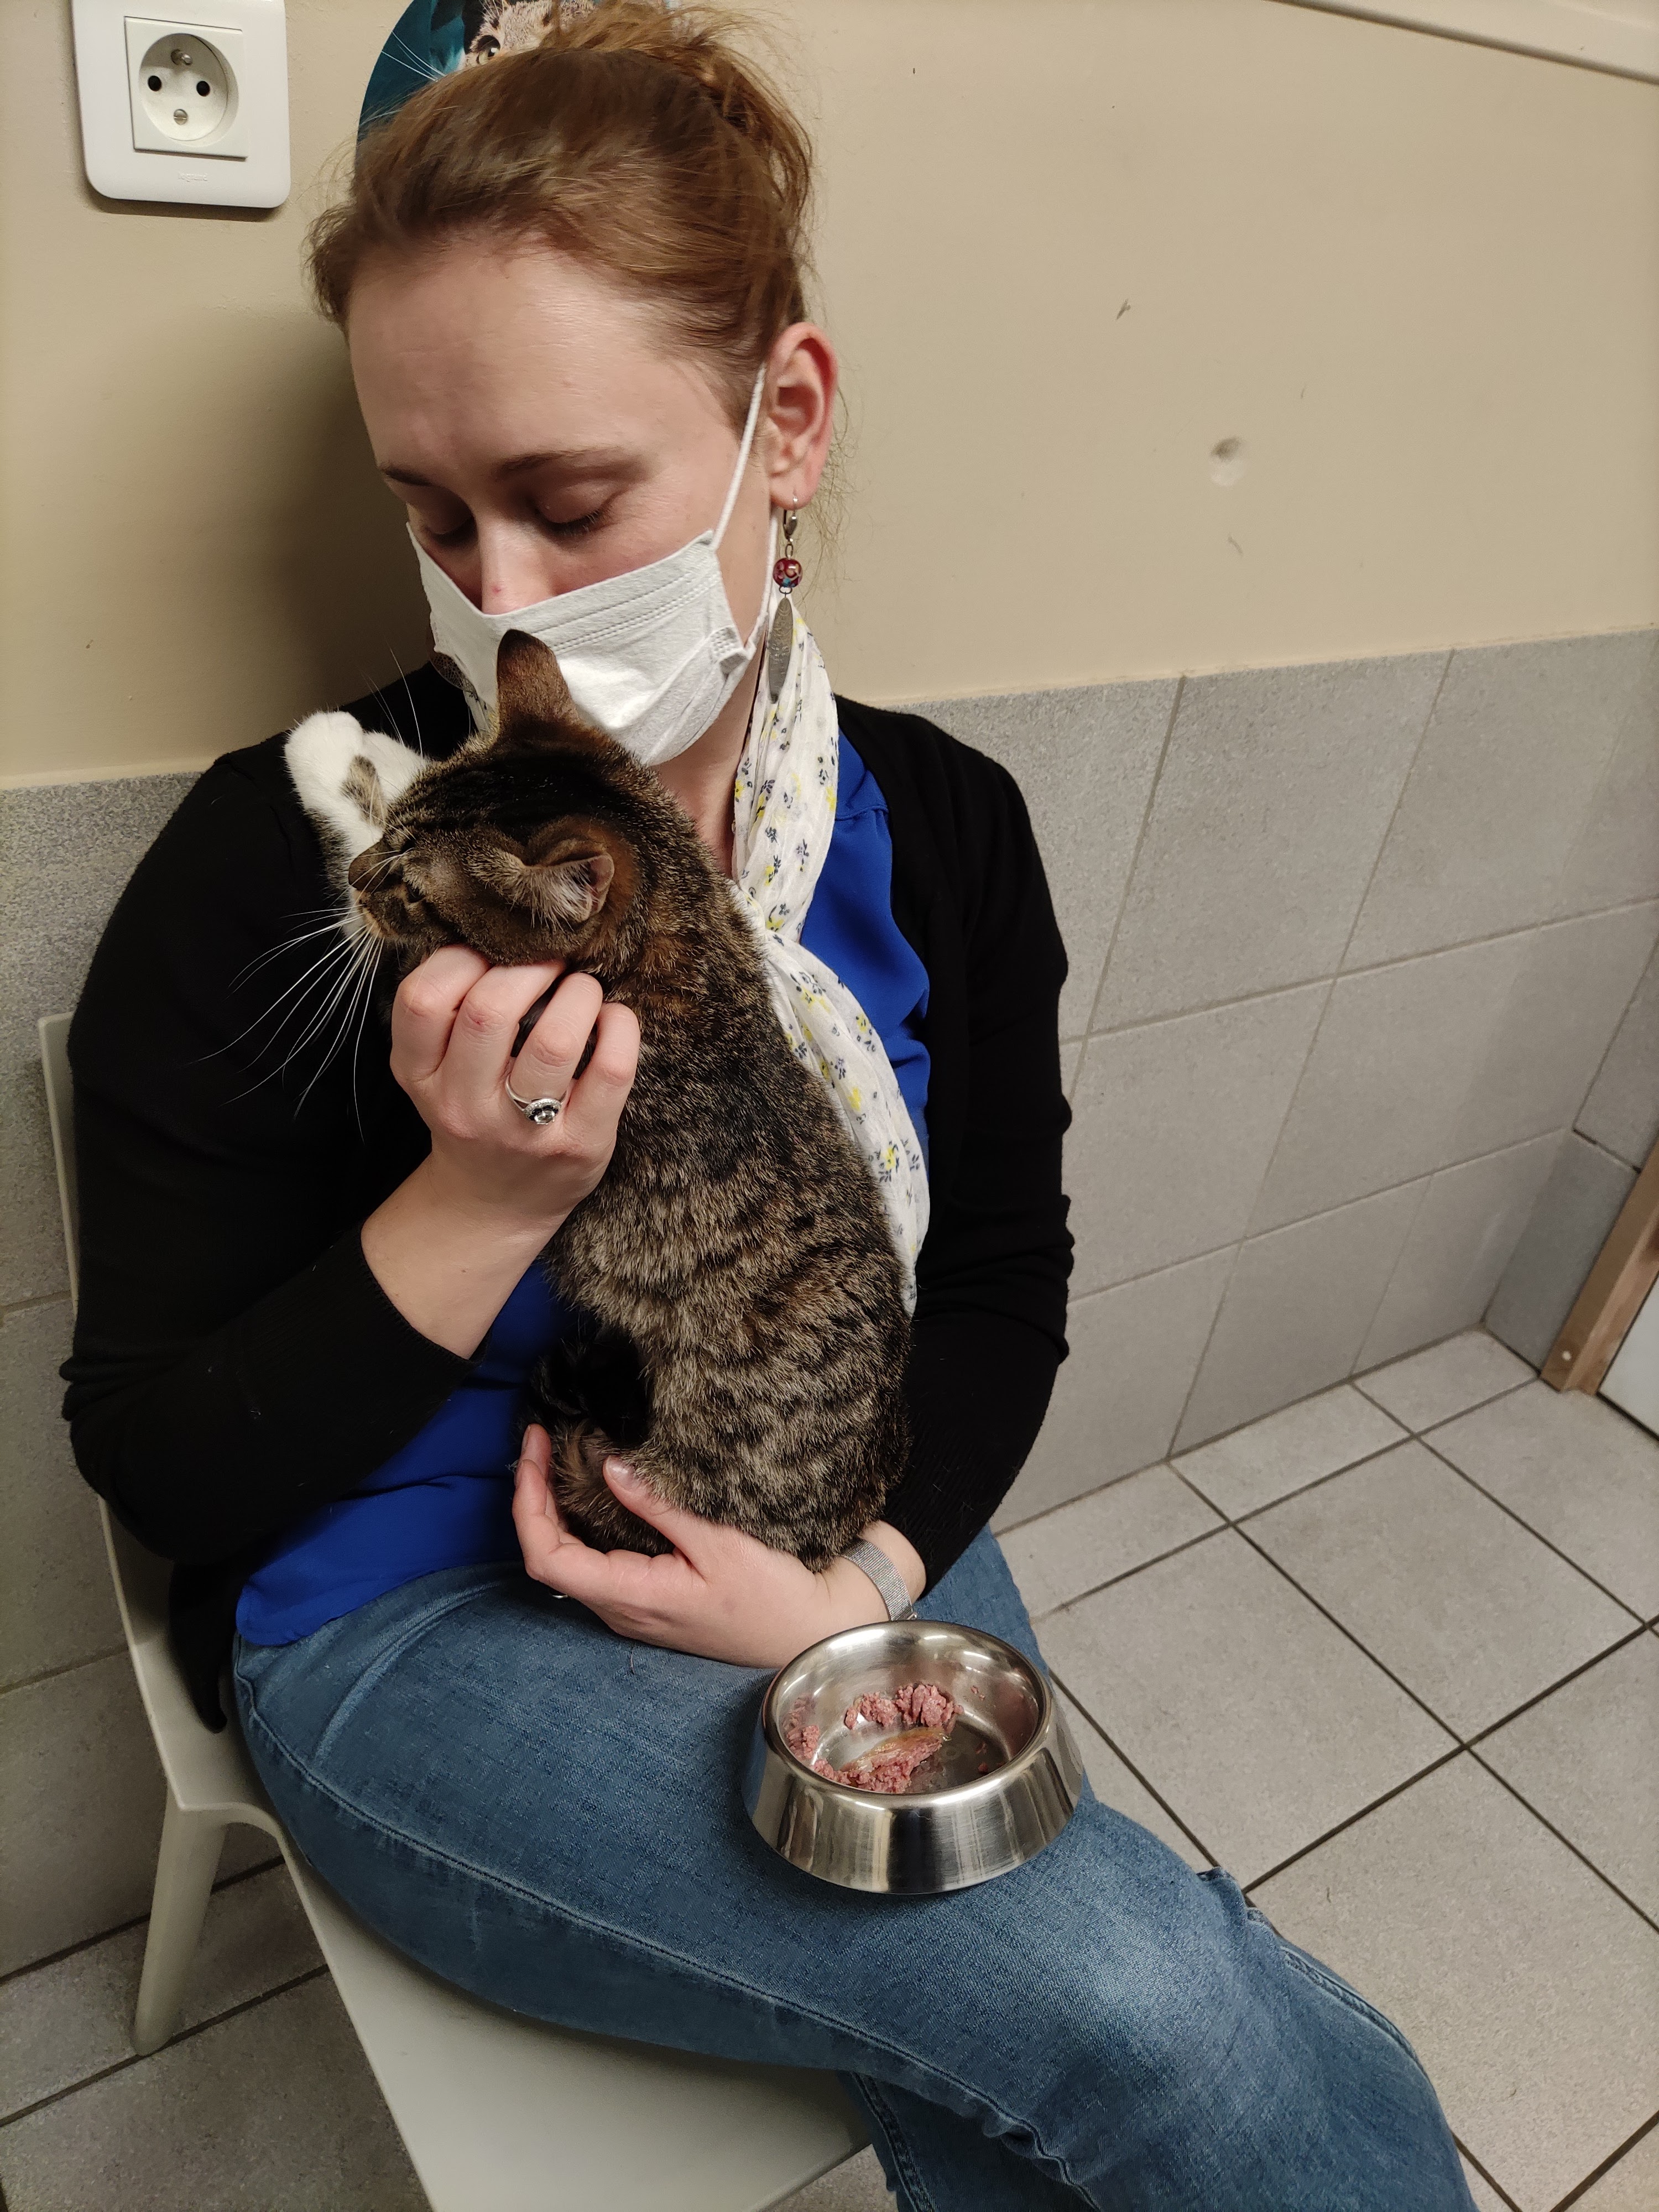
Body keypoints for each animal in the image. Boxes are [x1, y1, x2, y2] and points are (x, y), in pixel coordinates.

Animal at [285, 631, 910, 1567]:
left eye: (409, 886)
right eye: (392, 848)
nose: (362, 877)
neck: (681, 937)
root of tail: (844, 1517)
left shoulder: (442, 988)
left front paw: (322, 754)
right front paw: (361, 749)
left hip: (671, 1490)